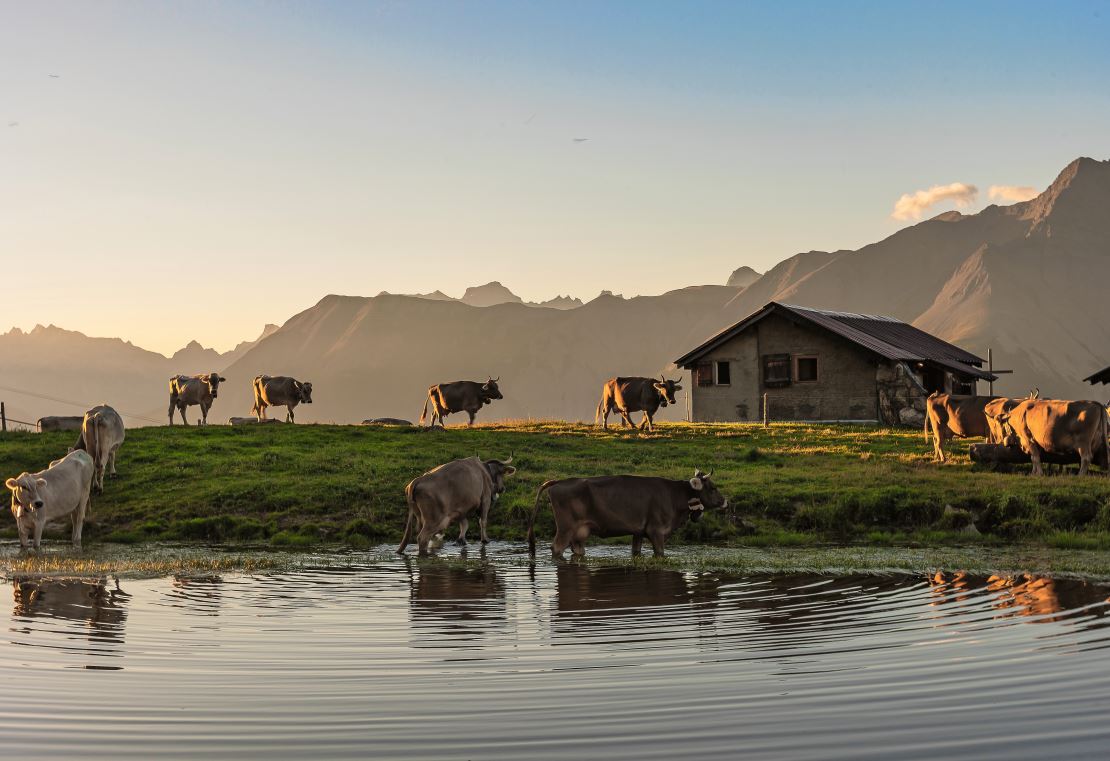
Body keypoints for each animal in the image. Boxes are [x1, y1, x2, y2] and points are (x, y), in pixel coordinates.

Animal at [528, 470, 728, 561]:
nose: (726, 501)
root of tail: (558, 481)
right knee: (556, 548)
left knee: (577, 550)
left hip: (579, 533)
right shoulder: (656, 531)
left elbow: (636, 551)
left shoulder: (638, 531)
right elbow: (660, 553)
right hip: (565, 528)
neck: (675, 496)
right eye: (713, 488)